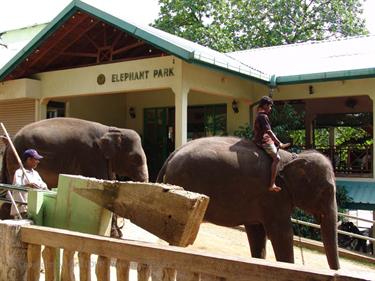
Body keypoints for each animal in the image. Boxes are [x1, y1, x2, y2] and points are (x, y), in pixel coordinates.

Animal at [157, 136, 342, 270]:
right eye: (327, 191)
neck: (293, 157)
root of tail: (170, 157)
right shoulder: (274, 196)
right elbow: (282, 234)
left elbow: (257, 233)